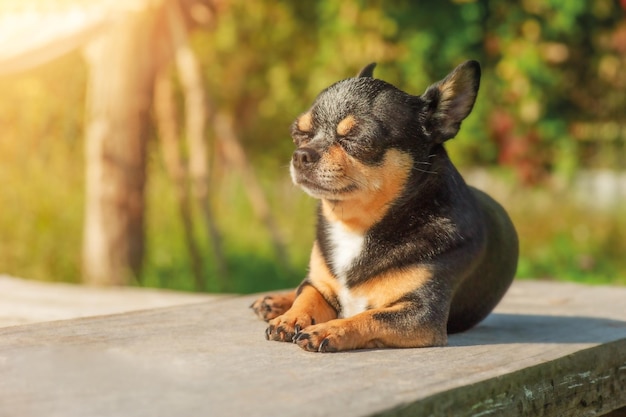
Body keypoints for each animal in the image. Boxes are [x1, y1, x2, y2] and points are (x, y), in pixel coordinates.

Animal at [249, 59, 516, 352]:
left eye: (357, 138)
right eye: (300, 134)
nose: (300, 154)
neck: (355, 226)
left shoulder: (422, 314)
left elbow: (369, 317)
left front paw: (329, 329)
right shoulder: (319, 284)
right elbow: (307, 294)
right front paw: (292, 316)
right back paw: (276, 301)